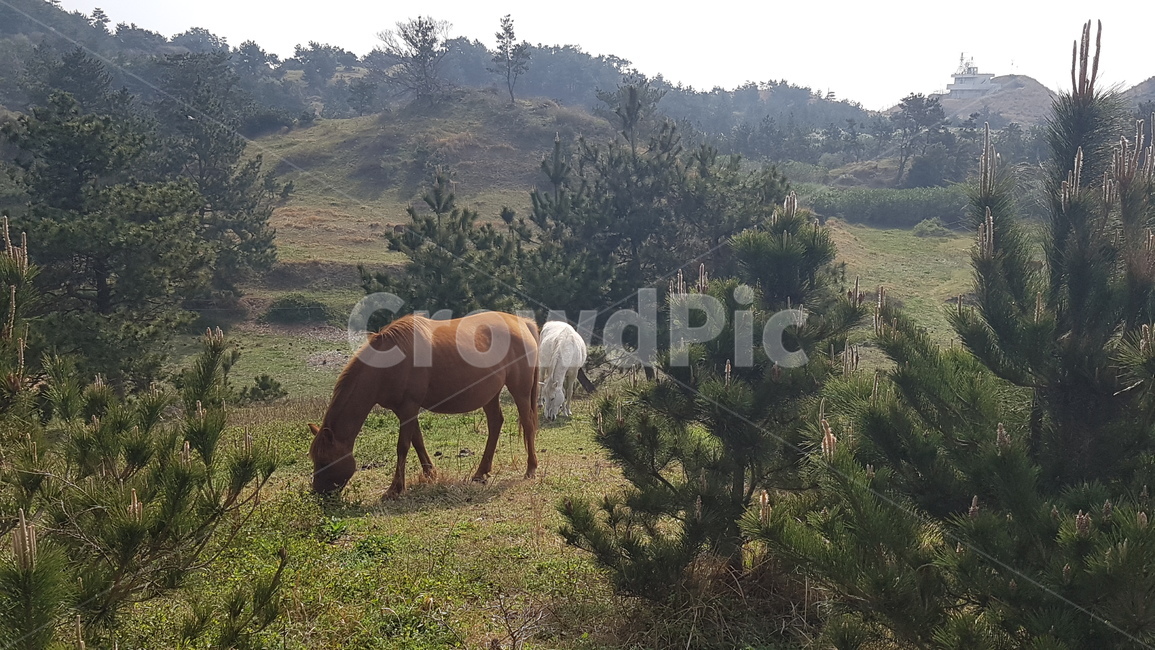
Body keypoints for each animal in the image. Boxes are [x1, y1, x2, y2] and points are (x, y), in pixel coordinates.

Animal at [309, 311, 540, 497]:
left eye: (325, 462)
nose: (319, 493)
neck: (387, 364)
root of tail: (522, 322)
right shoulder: (404, 410)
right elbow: (417, 441)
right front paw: (430, 473)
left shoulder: (409, 407)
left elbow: (403, 446)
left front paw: (395, 489)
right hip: (490, 394)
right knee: (495, 424)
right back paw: (481, 471)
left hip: (520, 390)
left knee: (528, 423)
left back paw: (530, 468)